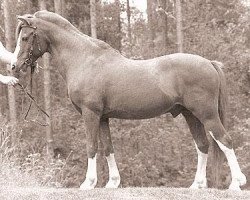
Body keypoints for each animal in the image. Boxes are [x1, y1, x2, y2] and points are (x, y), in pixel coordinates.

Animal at [11, 10, 246, 191]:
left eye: (25, 38)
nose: (14, 66)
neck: (84, 59)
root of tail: (210, 63)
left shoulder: (90, 114)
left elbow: (91, 146)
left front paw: (89, 183)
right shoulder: (103, 117)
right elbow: (108, 147)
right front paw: (113, 183)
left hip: (207, 114)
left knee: (225, 141)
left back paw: (236, 183)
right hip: (190, 115)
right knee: (203, 145)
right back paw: (197, 185)